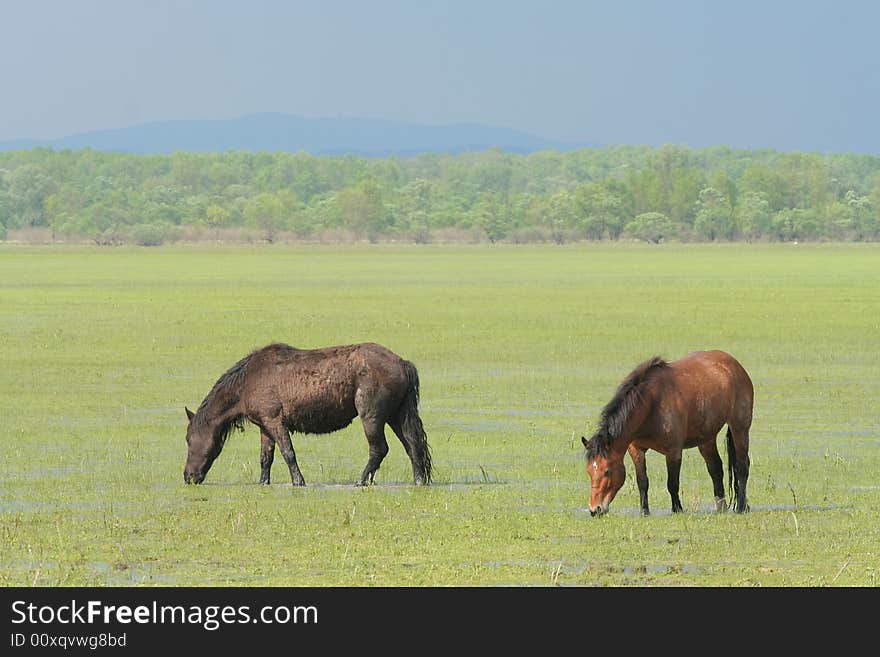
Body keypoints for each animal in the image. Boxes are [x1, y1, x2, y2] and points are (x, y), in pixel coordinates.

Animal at [185, 344, 434, 486]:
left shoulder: (276, 421)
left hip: (371, 417)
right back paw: (419, 481)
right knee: (412, 446)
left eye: (188, 439)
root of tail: (402, 363)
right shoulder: (264, 425)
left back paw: (361, 481)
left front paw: (298, 481)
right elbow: (266, 458)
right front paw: (263, 482)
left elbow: (288, 453)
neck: (247, 381)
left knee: (379, 449)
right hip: (396, 416)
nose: (188, 476)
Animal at [580, 352, 752, 516]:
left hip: (740, 429)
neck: (651, 403)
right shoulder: (636, 450)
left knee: (742, 466)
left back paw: (741, 506)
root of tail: (735, 365)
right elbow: (642, 481)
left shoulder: (673, 451)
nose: (595, 510)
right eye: (589, 471)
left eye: (607, 471)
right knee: (715, 468)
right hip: (706, 438)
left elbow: (672, 483)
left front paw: (677, 509)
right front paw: (644, 511)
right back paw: (720, 507)